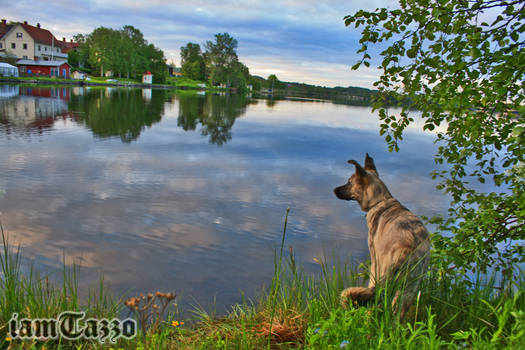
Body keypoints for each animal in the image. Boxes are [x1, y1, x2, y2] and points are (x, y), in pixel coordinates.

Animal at [334, 153, 428, 318]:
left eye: (349, 182)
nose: (334, 190)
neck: (380, 201)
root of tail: (410, 248)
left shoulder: (374, 259)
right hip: (409, 289)